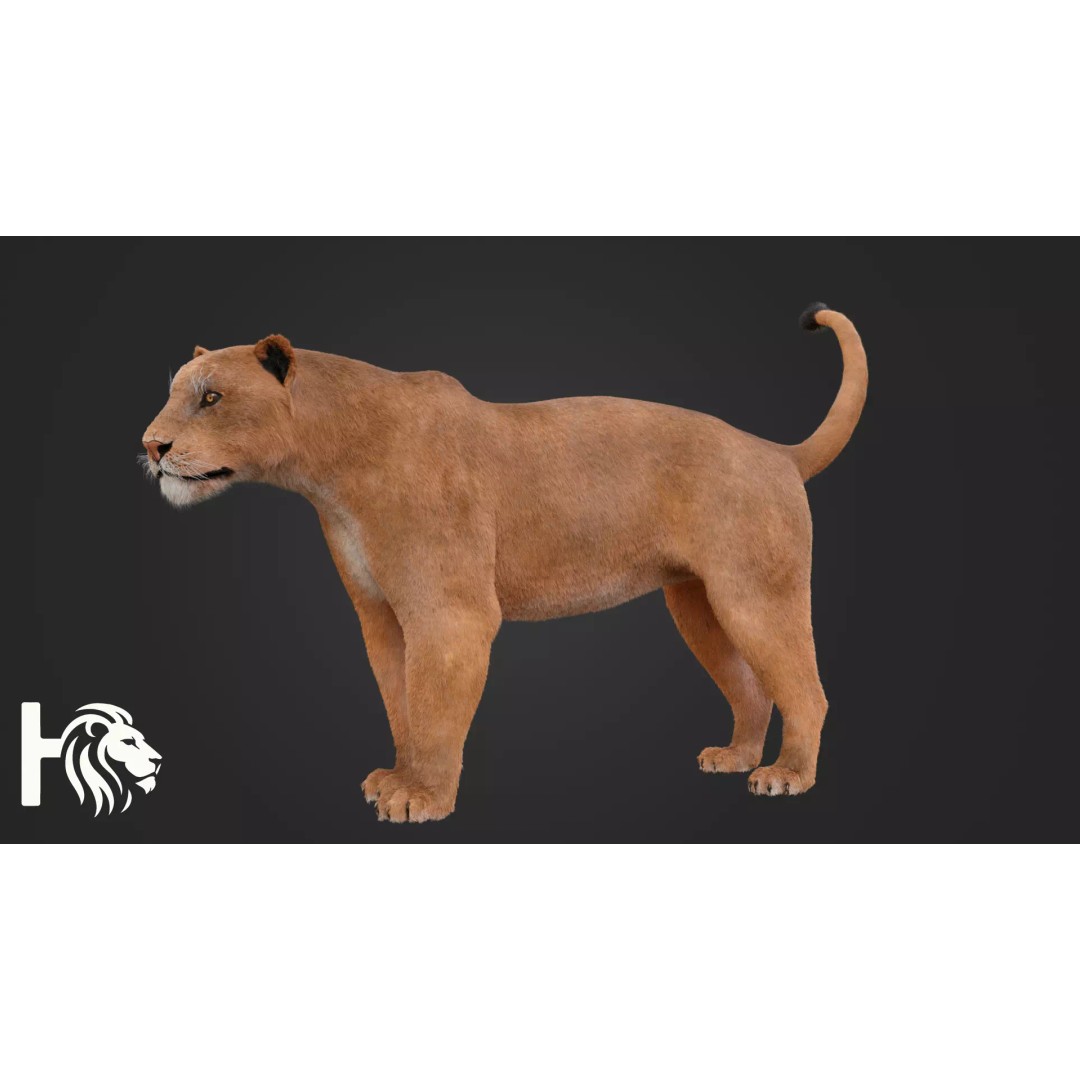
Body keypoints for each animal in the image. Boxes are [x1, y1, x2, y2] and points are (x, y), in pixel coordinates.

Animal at [141, 303, 866, 823]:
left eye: (211, 397)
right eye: (176, 392)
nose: (151, 445)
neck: (328, 471)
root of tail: (776, 451)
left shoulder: (450, 614)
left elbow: (434, 708)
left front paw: (421, 800)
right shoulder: (380, 613)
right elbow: (401, 702)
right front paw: (396, 779)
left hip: (755, 595)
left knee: (806, 689)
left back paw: (785, 776)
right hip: (698, 602)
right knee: (750, 685)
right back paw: (734, 756)